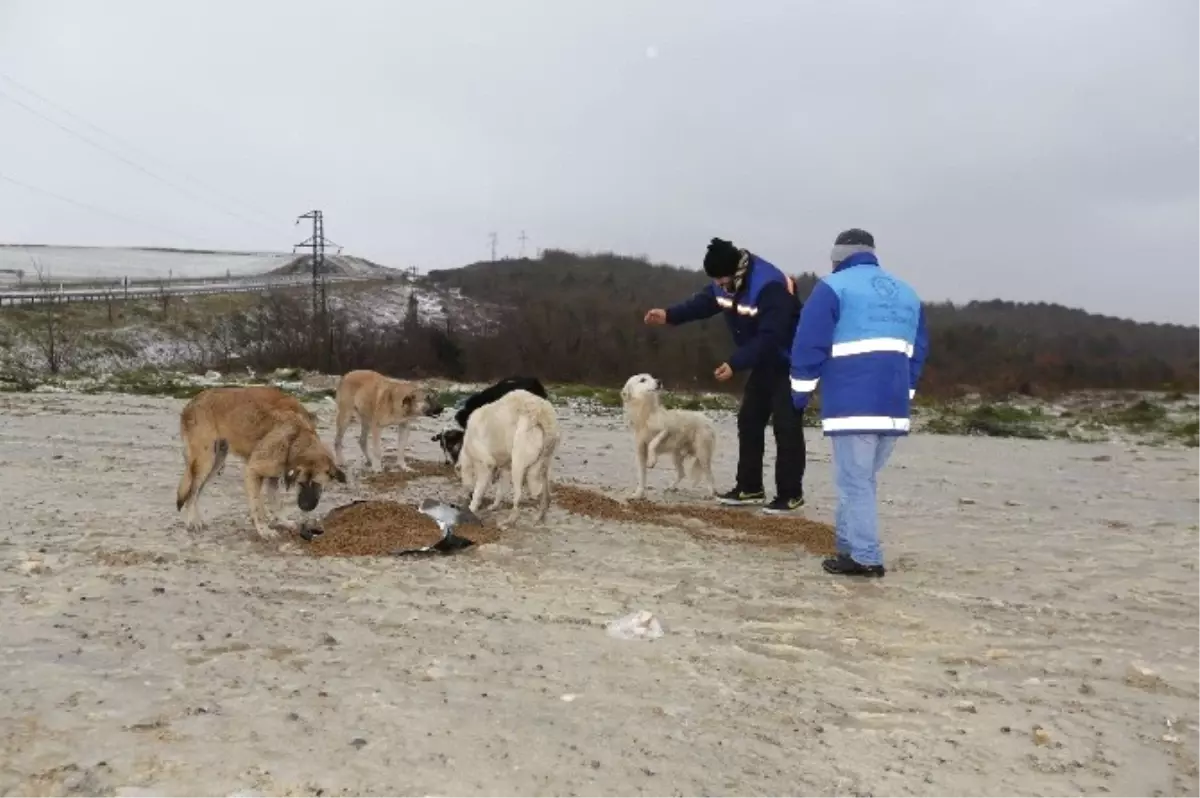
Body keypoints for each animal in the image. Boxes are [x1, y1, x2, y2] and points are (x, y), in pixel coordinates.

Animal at [175, 384, 350, 537]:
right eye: (300, 484)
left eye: (317, 485)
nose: (305, 507)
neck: (296, 438)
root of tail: (193, 400)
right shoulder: (252, 471)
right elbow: (257, 505)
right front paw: (263, 529)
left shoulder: (274, 476)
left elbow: (275, 503)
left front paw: (283, 521)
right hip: (205, 462)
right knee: (192, 492)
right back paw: (191, 521)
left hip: (216, 462)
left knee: (196, 493)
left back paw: (196, 519)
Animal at [456, 388, 559, 525]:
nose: (466, 495)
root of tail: (543, 413)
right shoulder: (505, 464)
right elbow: (502, 486)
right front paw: (494, 506)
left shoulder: (483, 457)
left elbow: (483, 478)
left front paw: (472, 507)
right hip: (548, 453)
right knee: (545, 484)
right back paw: (539, 516)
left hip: (522, 441)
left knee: (520, 491)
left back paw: (509, 520)